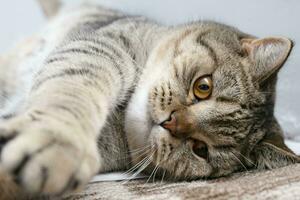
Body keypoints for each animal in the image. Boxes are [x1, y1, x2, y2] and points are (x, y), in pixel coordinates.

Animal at [0, 0, 300, 199]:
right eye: (203, 87)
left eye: (201, 149)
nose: (171, 122)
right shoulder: (104, 46)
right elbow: (72, 91)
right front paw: (58, 139)